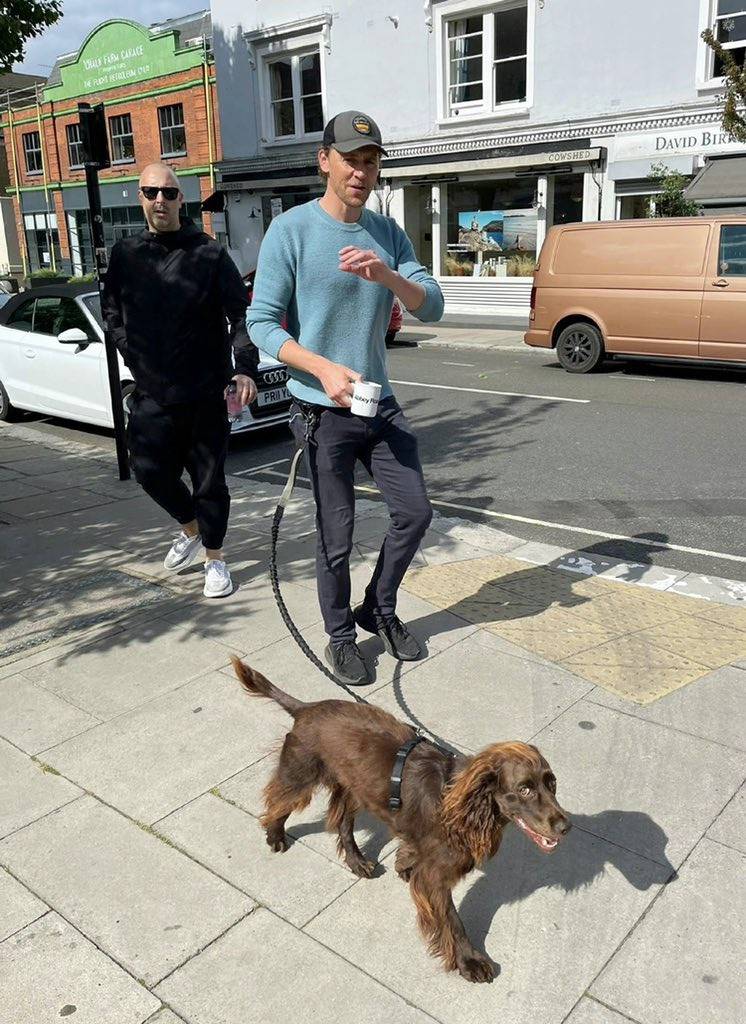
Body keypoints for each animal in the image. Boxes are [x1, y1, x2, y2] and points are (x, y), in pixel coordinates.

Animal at [233, 655, 568, 983]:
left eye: (552, 784)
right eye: (524, 789)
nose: (565, 827)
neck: (461, 803)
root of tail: (307, 708)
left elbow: (409, 850)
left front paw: (404, 863)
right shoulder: (435, 877)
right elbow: (452, 919)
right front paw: (469, 961)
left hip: (354, 785)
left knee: (342, 821)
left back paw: (357, 862)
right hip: (302, 771)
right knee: (279, 799)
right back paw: (276, 834)